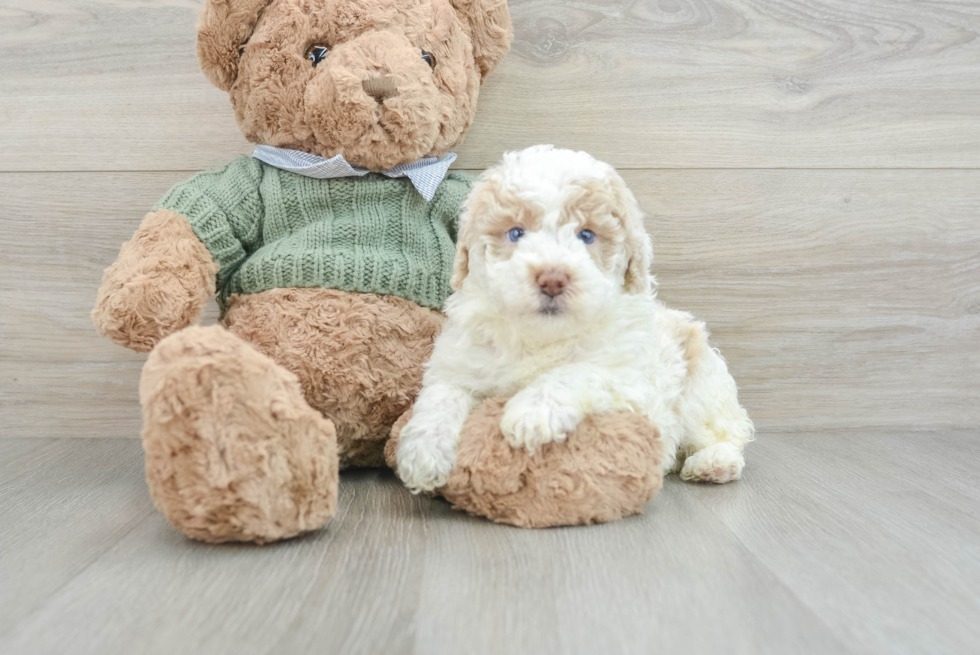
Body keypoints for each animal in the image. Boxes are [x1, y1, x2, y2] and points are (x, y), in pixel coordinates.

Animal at [394, 144, 756, 492]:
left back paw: (714, 462)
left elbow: (580, 372)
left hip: (702, 390)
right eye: (515, 233)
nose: (552, 279)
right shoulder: (460, 363)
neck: (543, 336)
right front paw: (422, 454)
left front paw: (531, 413)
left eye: (586, 235)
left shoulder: (628, 377)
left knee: (728, 432)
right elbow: (441, 396)